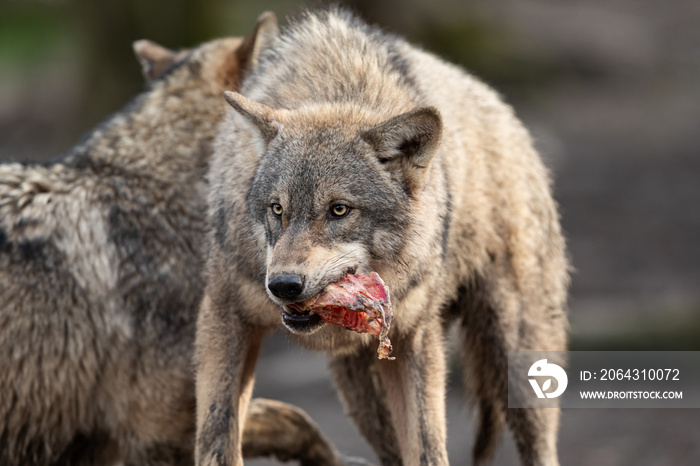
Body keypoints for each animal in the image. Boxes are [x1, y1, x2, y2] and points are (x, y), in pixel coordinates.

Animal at [194, 6, 568, 466]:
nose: (282, 285)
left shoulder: (416, 338)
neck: (337, 82)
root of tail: (506, 113)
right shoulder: (225, 317)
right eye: (277, 209)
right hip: (363, 396)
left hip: (517, 357)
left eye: (339, 210)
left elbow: (429, 448)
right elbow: (216, 436)